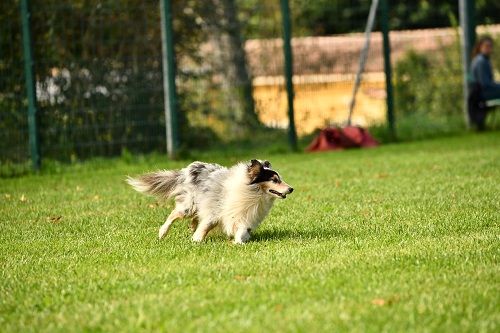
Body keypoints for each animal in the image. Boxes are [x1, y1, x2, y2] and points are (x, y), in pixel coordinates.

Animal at [127, 160, 294, 243]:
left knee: (194, 218)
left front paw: (239, 242)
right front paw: (197, 241)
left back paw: (192, 227)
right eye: (275, 180)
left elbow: (241, 230)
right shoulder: (216, 211)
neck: (254, 193)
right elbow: (207, 225)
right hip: (189, 205)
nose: (291, 189)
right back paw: (162, 233)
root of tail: (188, 169)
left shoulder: (244, 216)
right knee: (173, 214)